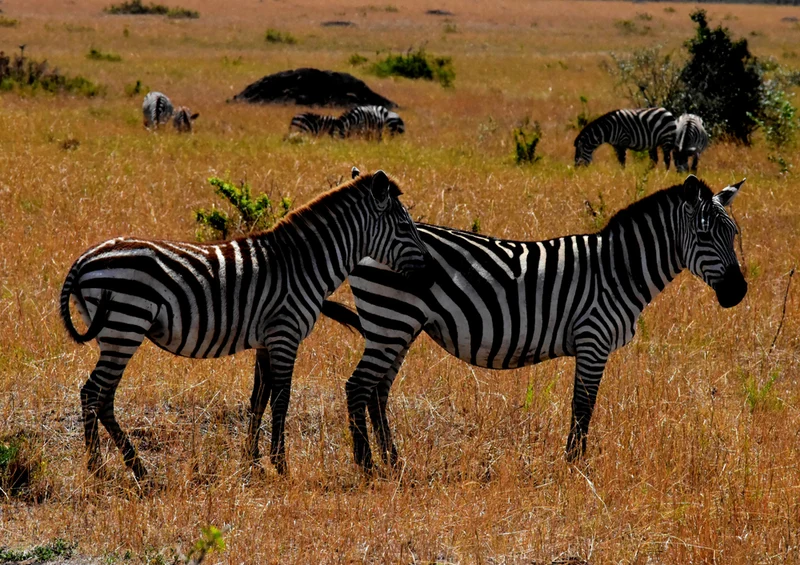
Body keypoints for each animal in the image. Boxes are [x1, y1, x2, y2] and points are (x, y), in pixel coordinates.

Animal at [59, 170, 430, 479]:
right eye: (404, 226)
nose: (427, 273)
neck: (303, 264)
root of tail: (83, 260)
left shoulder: (266, 339)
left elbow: (258, 399)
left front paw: (252, 461)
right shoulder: (285, 332)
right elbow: (282, 398)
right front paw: (281, 464)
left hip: (115, 333)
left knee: (103, 397)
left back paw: (135, 467)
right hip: (125, 326)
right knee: (93, 392)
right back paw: (99, 468)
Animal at [323, 168, 747, 472]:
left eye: (734, 233)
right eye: (705, 236)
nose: (738, 293)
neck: (618, 270)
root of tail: (364, 245)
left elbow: (582, 406)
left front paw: (573, 462)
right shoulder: (593, 339)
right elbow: (583, 406)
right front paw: (574, 465)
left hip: (398, 327)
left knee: (378, 390)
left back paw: (393, 461)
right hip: (390, 321)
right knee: (357, 387)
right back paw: (366, 466)